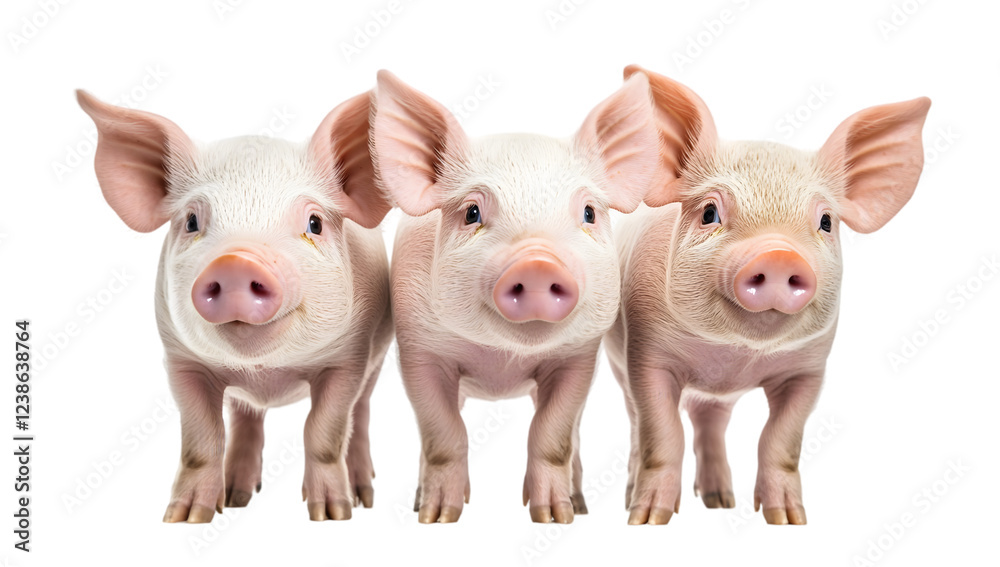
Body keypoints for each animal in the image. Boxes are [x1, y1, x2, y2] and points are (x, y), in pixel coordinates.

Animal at [77, 88, 393, 523]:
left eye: (314, 223)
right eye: (191, 221)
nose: (236, 262)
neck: (264, 372)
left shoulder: (348, 359)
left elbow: (323, 432)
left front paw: (332, 514)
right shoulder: (181, 361)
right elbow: (201, 440)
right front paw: (185, 517)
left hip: (378, 356)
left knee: (359, 413)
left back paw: (364, 496)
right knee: (246, 415)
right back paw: (238, 496)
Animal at [372, 70, 660, 523]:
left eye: (589, 213)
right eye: (471, 212)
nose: (538, 263)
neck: (502, 363)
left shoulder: (579, 356)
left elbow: (552, 434)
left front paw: (554, 516)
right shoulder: (417, 348)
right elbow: (442, 432)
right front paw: (438, 517)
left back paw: (579, 504)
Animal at [605, 65, 930, 525]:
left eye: (826, 221)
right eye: (709, 212)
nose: (778, 254)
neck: (735, 357)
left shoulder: (810, 369)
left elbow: (781, 439)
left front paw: (788, 519)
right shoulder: (645, 356)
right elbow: (663, 432)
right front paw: (648, 520)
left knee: (710, 419)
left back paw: (720, 501)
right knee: (638, 423)